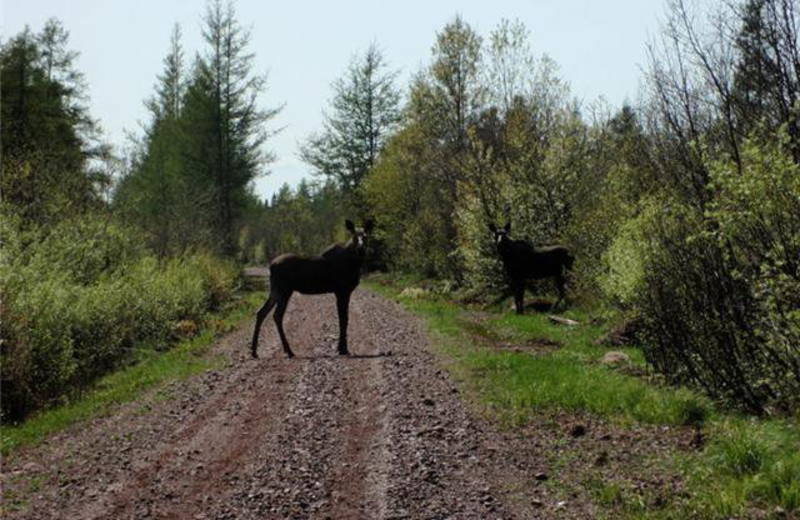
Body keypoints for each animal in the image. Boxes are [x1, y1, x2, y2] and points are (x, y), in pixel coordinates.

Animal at [252, 218, 374, 358]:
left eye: (365, 236)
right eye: (354, 237)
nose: (361, 249)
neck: (355, 264)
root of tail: (270, 266)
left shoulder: (342, 292)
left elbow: (343, 319)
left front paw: (341, 348)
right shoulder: (342, 291)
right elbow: (343, 319)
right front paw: (343, 349)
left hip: (275, 291)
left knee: (261, 312)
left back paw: (254, 351)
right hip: (284, 291)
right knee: (277, 316)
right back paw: (289, 350)